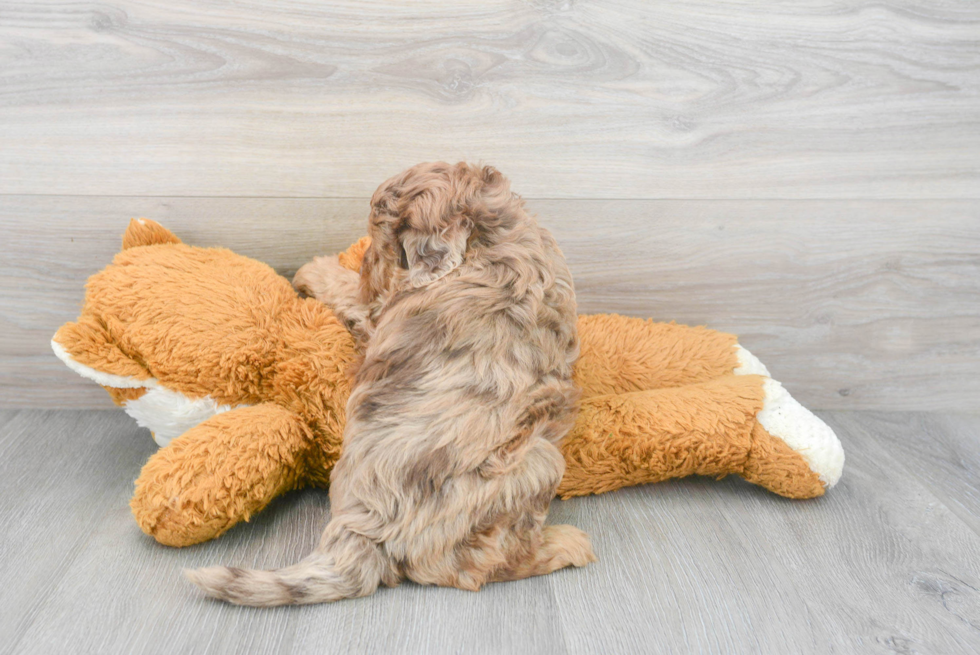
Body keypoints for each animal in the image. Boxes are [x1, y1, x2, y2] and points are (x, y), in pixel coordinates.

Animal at [188, 161, 592, 608]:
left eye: (385, 242)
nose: (367, 266)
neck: (495, 239)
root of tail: (364, 533)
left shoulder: (379, 309)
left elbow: (353, 294)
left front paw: (313, 270)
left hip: (537, 461)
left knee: (466, 569)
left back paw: (565, 545)